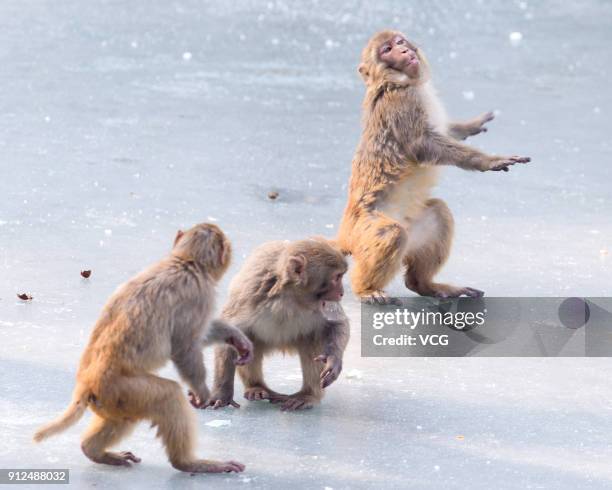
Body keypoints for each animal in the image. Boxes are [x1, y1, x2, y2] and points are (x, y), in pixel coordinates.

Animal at [31, 224, 253, 472]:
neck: (184, 261)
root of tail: (86, 383)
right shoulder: (199, 295)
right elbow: (184, 346)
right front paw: (201, 391)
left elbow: (198, 337)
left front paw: (235, 337)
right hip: (124, 390)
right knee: (168, 396)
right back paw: (188, 463)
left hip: (111, 400)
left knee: (122, 418)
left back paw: (94, 451)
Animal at [198, 239, 352, 412]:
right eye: (337, 277)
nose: (341, 293)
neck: (292, 298)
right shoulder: (251, 293)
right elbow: (231, 333)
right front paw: (222, 394)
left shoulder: (325, 303)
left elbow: (338, 324)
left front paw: (333, 360)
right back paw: (256, 387)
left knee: (313, 340)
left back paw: (307, 395)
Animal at [334, 29, 532, 302]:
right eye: (387, 50)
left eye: (399, 42)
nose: (404, 50)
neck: (403, 82)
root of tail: (343, 235)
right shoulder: (401, 102)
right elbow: (422, 145)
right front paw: (487, 160)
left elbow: (446, 132)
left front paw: (471, 125)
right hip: (363, 231)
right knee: (393, 234)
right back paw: (366, 289)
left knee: (439, 213)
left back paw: (425, 285)